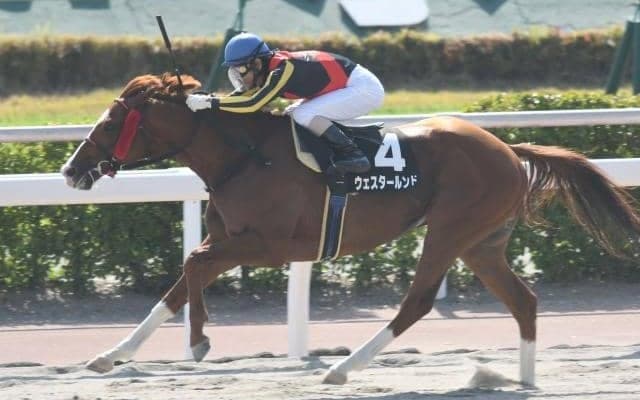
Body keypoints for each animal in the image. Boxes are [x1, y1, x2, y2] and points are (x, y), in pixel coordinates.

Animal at [61, 73, 640, 385]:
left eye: (111, 121)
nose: (70, 169)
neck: (243, 156)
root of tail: (508, 149)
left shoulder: (267, 244)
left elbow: (192, 266)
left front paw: (201, 340)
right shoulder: (229, 239)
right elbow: (177, 286)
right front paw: (110, 355)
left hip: (451, 229)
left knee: (417, 302)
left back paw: (342, 368)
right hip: (482, 244)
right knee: (523, 301)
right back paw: (523, 378)